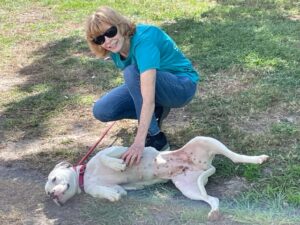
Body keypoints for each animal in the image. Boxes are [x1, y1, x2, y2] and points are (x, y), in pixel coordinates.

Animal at [45, 136, 268, 219]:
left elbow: (107, 157)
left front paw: (117, 165)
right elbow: (109, 191)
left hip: (205, 140)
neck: (85, 175)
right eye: (48, 193)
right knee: (212, 199)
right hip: (189, 188)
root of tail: (206, 166)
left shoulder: (119, 150)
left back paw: (258, 159)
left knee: (236, 157)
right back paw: (213, 212)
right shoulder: (102, 186)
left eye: (54, 179)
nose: (52, 196)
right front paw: (112, 196)